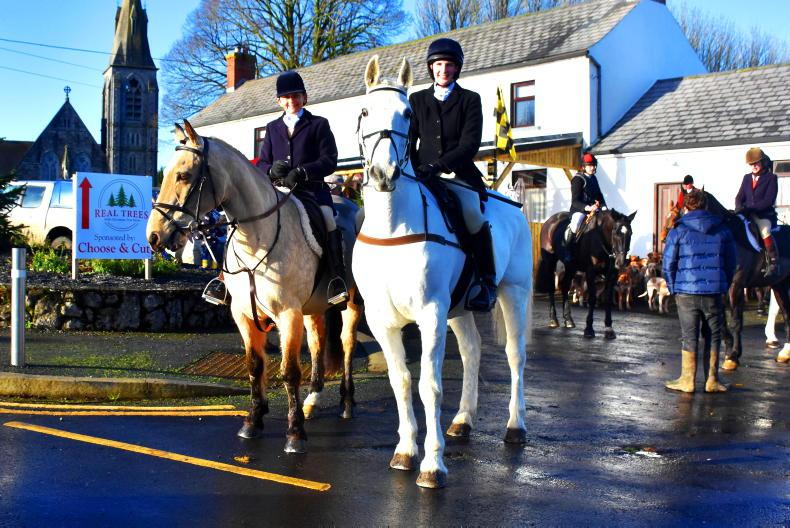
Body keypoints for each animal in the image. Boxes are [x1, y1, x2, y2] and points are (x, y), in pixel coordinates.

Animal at [147, 121, 363, 453]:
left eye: (183, 175)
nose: (154, 237)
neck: (257, 238)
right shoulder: (244, 314)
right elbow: (255, 365)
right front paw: (253, 420)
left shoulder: (288, 314)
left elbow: (289, 371)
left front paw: (295, 433)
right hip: (313, 307)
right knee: (317, 342)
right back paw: (312, 401)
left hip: (350, 302)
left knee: (347, 342)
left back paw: (347, 402)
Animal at [352, 56, 533, 489]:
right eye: (365, 111)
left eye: (406, 114)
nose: (383, 175)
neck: (393, 229)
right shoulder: (382, 320)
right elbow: (401, 381)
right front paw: (406, 450)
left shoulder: (430, 314)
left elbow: (429, 386)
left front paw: (432, 465)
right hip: (460, 309)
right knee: (472, 351)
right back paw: (463, 420)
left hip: (514, 293)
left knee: (515, 355)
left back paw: (515, 426)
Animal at [536, 209, 636, 339]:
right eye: (616, 232)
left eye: (630, 233)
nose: (621, 263)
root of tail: (550, 220)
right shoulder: (591, 272)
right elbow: (592, 298)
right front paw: (589, 329)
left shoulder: (611, 275)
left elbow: (608, 300)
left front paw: (609, 328)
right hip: (550, 261)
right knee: (551, 288)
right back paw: (553, 319)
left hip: (571, 266)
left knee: (565, 287)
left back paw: (568, 320)